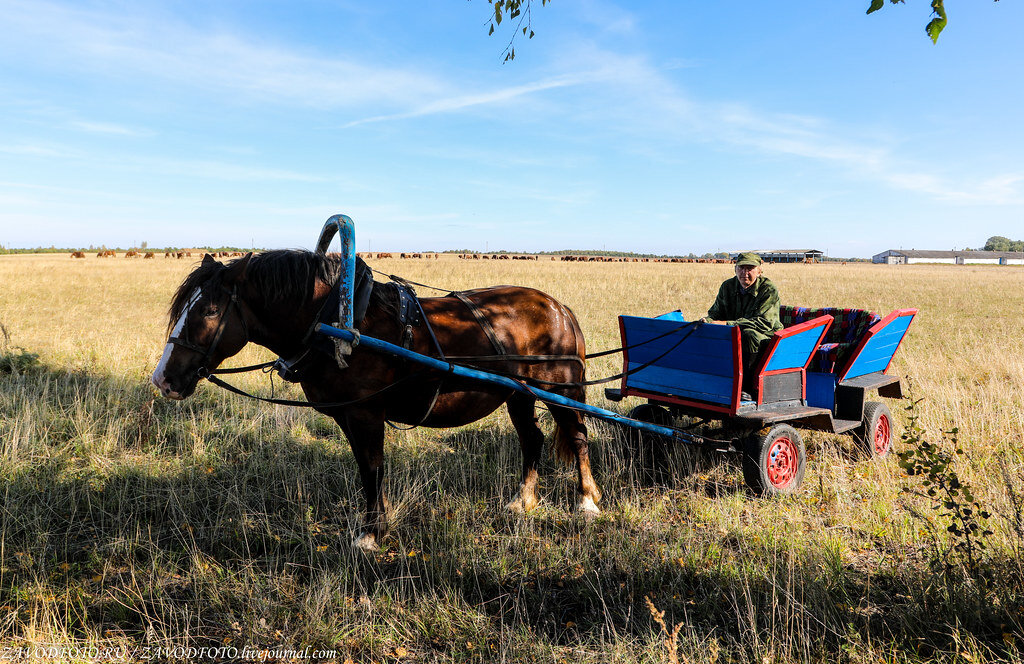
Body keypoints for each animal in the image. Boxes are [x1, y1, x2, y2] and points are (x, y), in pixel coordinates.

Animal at [151, 249, 598, 549]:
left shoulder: (367, 414)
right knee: (532, 440)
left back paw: (587, 502)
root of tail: (558, 307)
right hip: (519, 396)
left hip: (561, 391)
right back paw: (523, 501)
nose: (163, 379)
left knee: (577, 437)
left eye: (209, 310)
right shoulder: (347, 416)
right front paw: (374, 525)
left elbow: (372, 468)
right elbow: (367, 470)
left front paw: (369, 534)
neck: (337, 323)